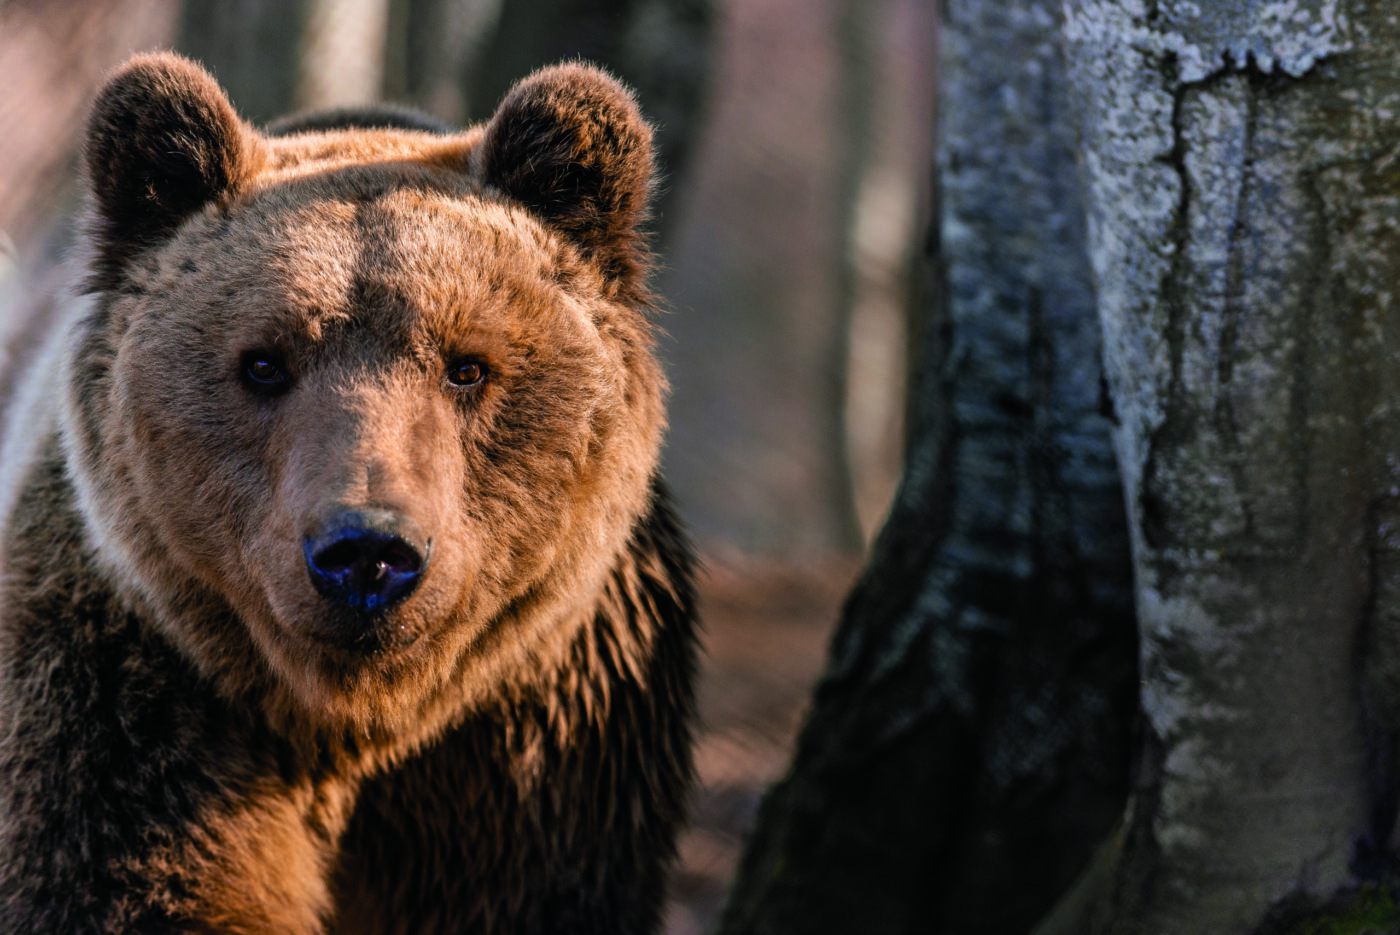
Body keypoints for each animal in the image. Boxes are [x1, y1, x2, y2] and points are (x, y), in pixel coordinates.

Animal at [0, 52, 697, 935]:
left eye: (467, 365)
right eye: (264, 362)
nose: (368, 551)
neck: (354, 722)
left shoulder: (545, 740)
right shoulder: (138, 690)